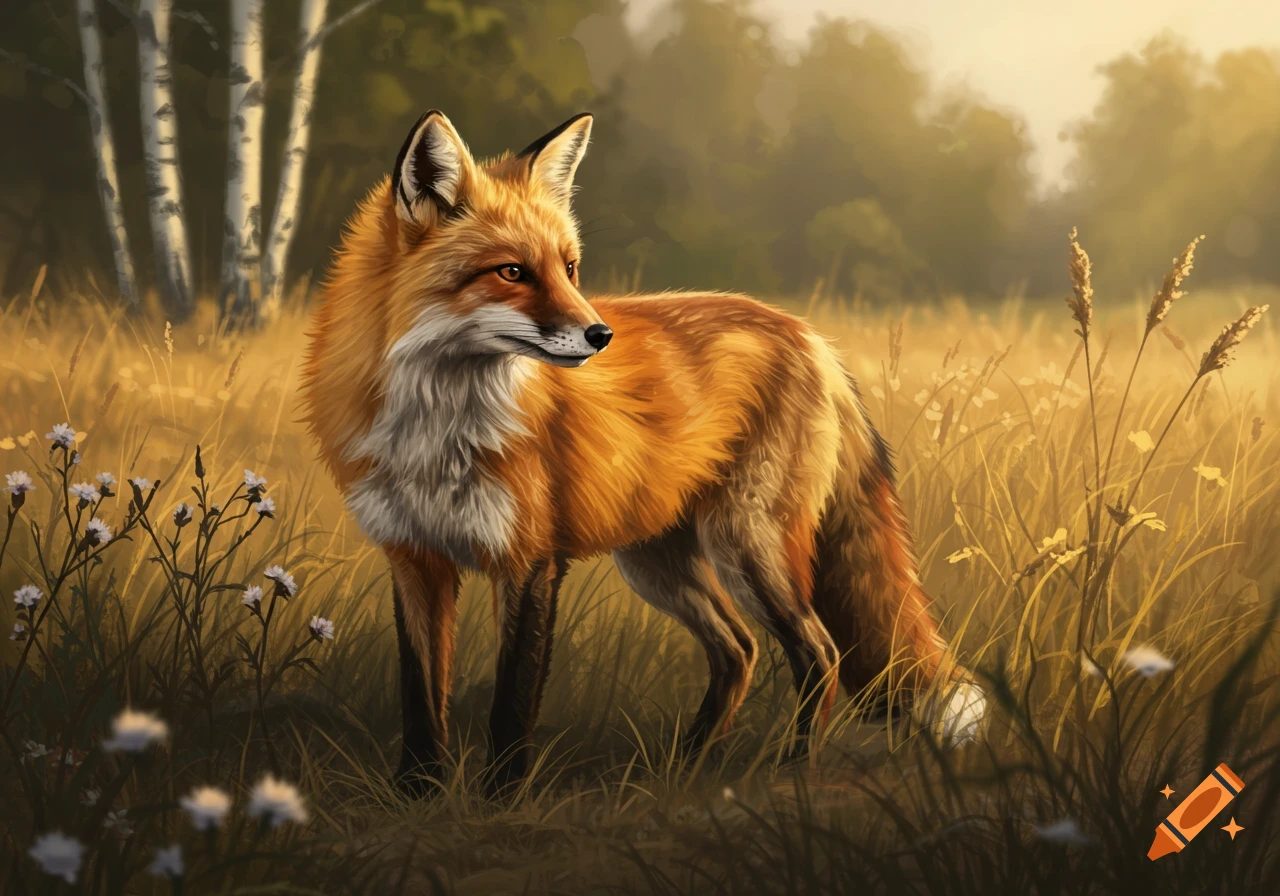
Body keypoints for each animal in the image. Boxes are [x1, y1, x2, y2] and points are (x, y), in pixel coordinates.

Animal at [300, 110, 986, 796]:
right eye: (512, 272)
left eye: (570, 268)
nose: (600, 334)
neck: (438, 428)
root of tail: (808, 334)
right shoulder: (414, 557)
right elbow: (421, 698)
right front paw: (417, 795)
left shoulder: (529, 560)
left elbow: (512, 704)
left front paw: (500, 797)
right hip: (659, 562)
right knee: (738, 650)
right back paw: (684, 766)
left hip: (747, 546)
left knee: (820, 652)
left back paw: (788, 772)